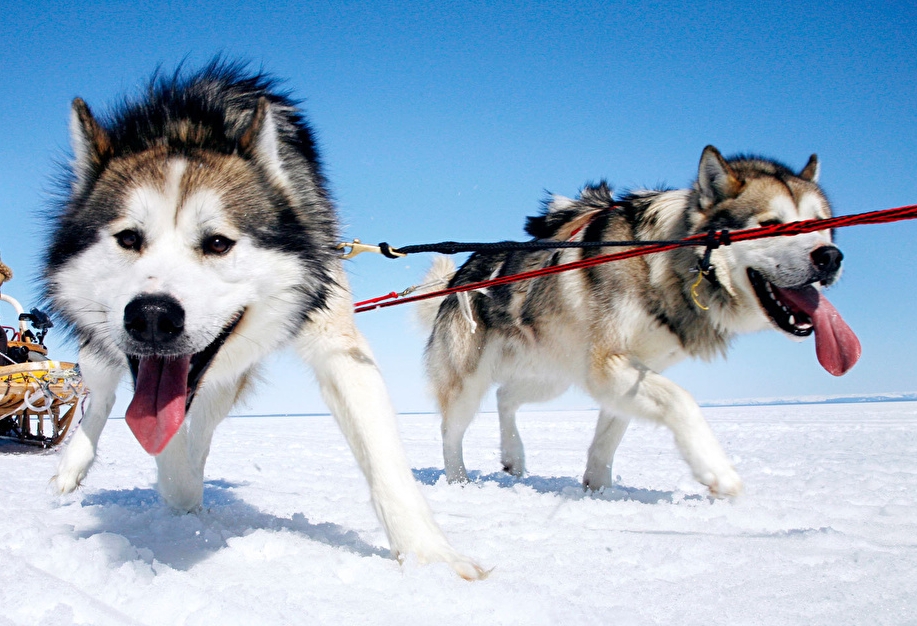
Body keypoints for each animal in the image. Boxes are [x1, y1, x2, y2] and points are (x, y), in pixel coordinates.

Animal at [41, 61, 486, 576]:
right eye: (128, 238)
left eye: (218, 242)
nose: (152, 316)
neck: (189, 124)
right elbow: (158, 441)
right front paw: (176, 490)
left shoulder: (338, 345)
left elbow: (384, 460)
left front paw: (430, 556)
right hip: (103, 352)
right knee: (103, 398)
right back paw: (73, 466)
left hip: (227, 378)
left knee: (199, 428)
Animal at [418, 147, 864, 498]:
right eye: (770, 225)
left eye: (822, 223)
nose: (830, 257)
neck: (663, 262)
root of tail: (460, 276)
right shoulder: (608, 364)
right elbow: (681, 401)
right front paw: (717, 471)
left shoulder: (629, 371)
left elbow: (610, 435)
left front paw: (598, 489)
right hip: (469, 381)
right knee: (450, 431)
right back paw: (458, 481)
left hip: (554, 373)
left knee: (506, 396)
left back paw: (514, 455)